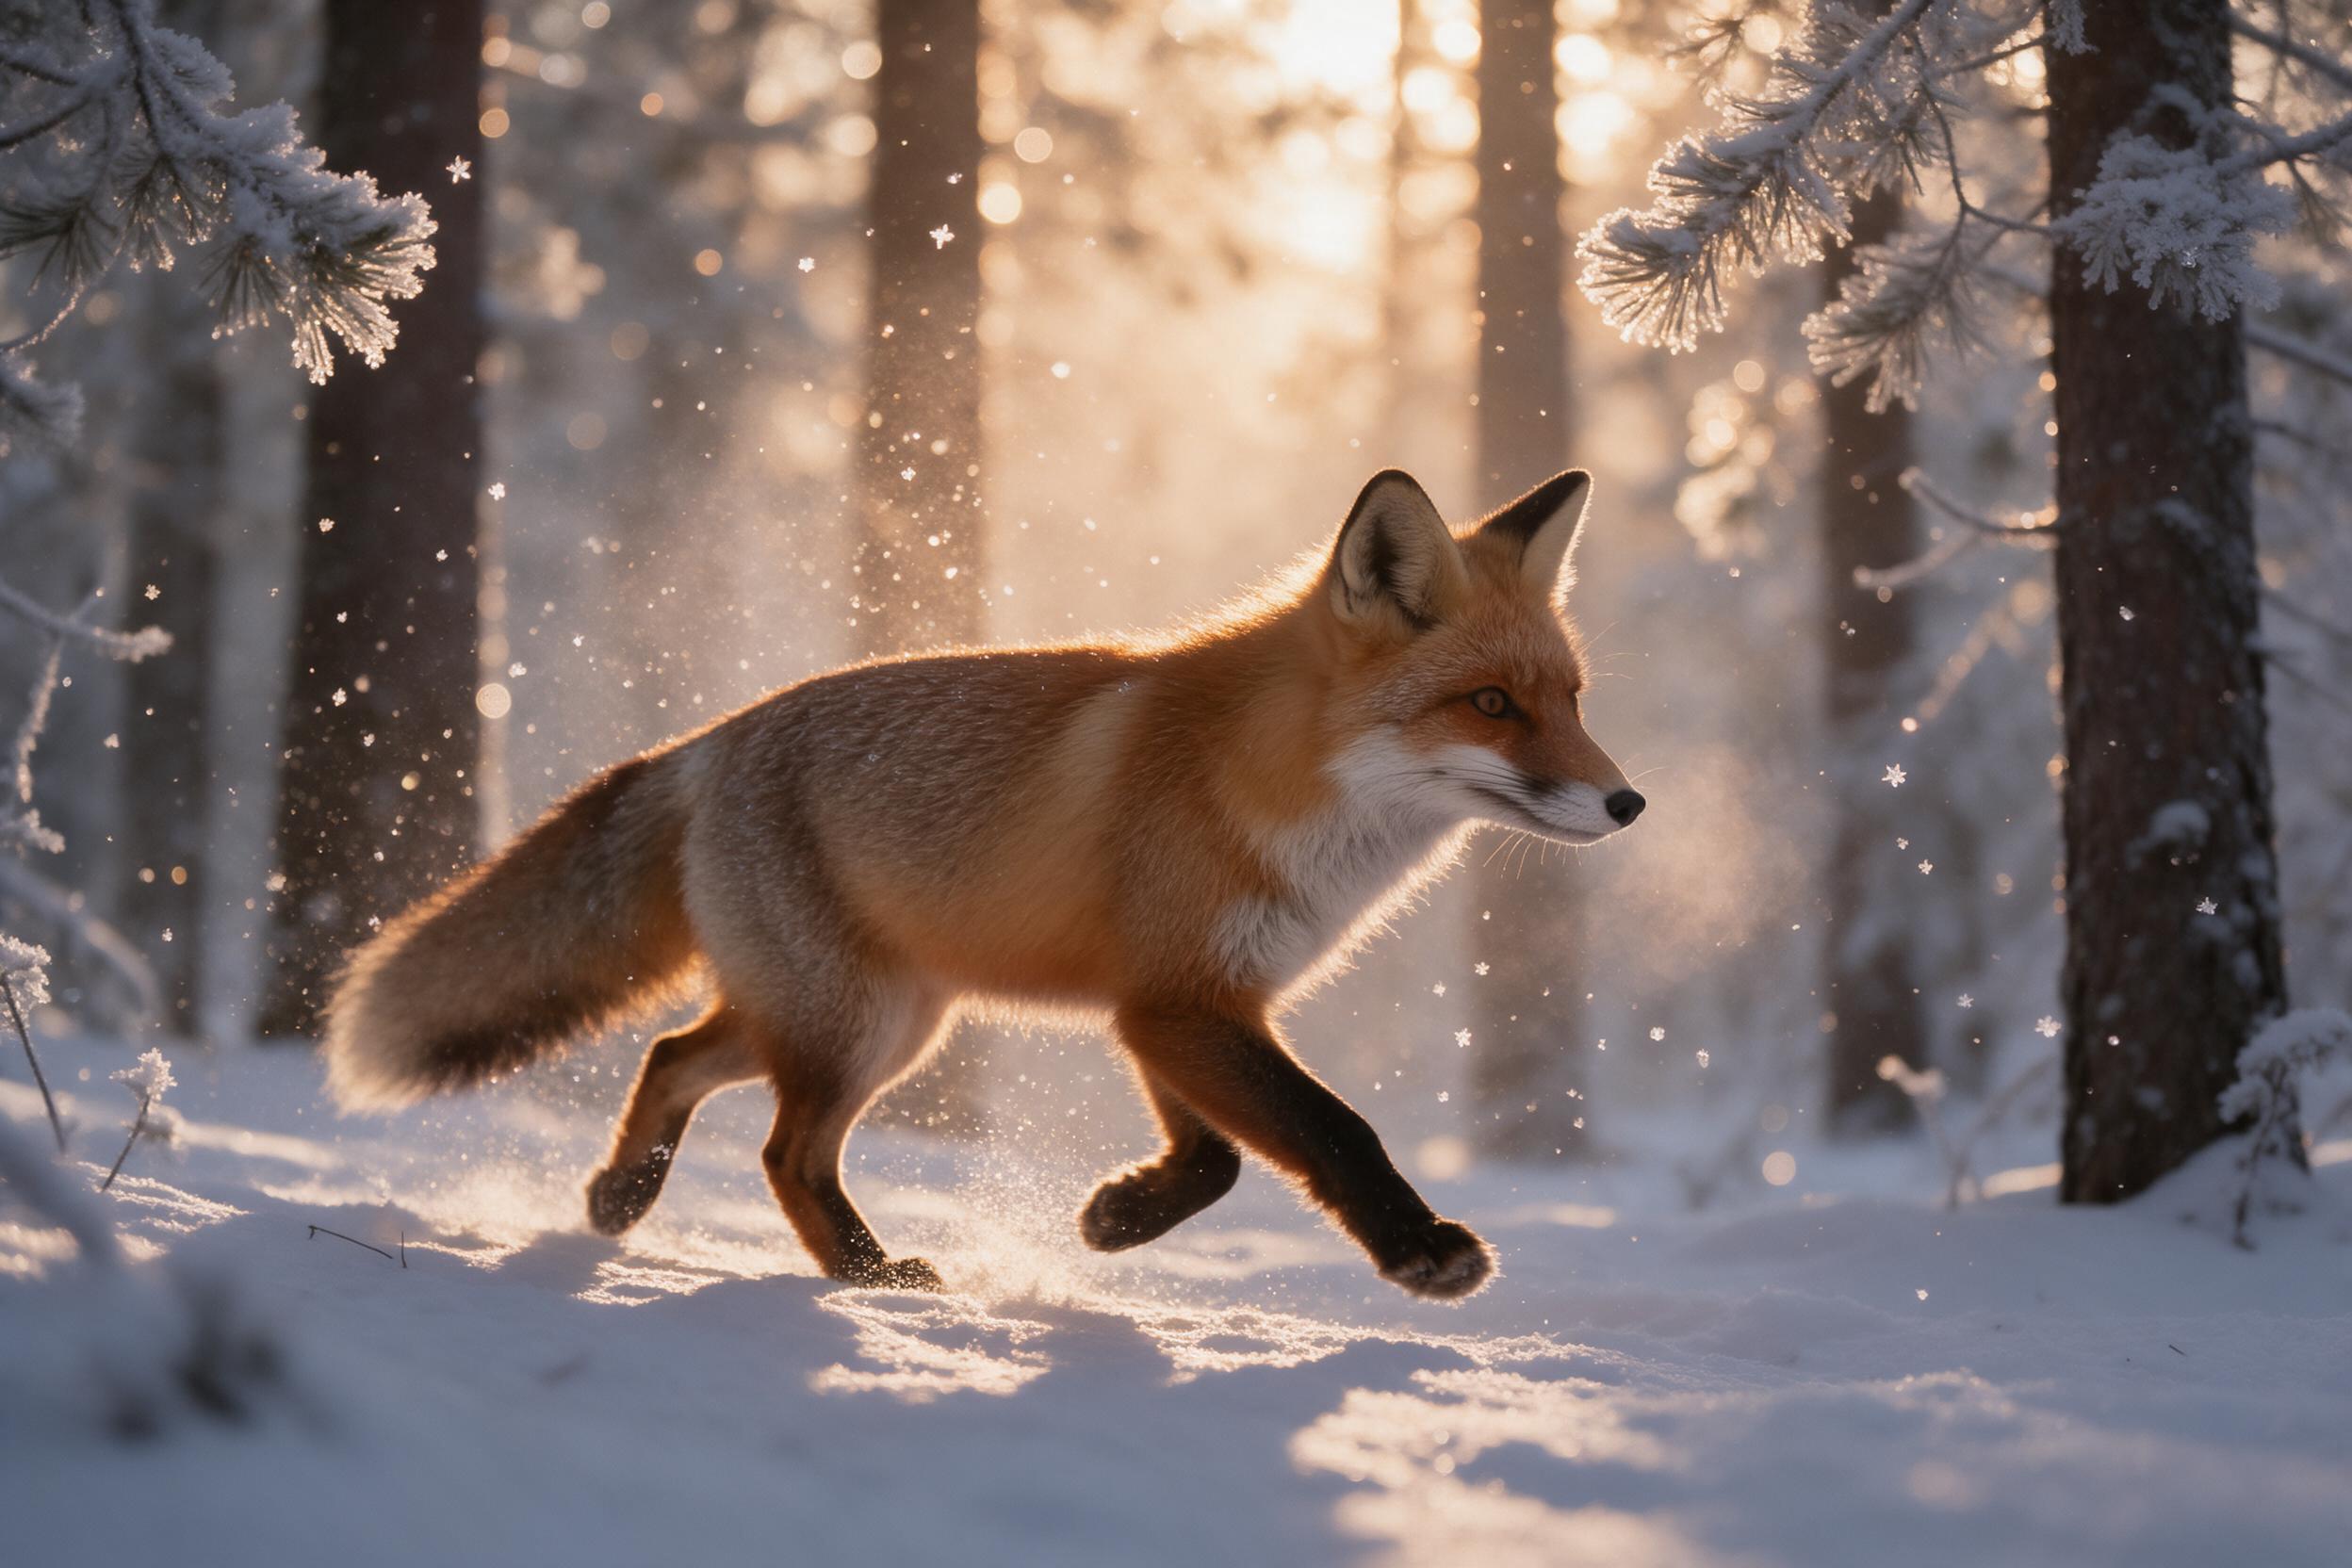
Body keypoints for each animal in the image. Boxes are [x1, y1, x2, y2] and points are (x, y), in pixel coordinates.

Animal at [322, 466, 1644, 1300]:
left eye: (1574, 698)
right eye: (1492, 703)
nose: (1628, 803)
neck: (1279, 788)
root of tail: (714, 736)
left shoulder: (1180, 1005)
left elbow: (1217, 1158)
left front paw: (1119, 1217)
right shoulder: (1178, 1001)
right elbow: (1331, 1125)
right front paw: (1422, 1251)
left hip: (873, 1013)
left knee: (672, 1055)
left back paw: (621, 1196)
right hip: (858, 1024)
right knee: (782, 1151)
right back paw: (866, 1275)